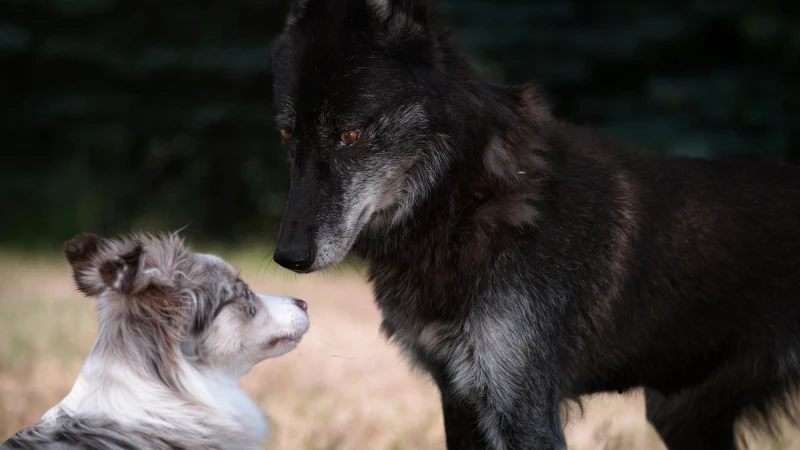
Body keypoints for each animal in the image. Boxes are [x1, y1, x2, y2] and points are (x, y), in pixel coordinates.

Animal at [269, 1, 800, 449]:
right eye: (287, 133)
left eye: (348, 135)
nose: (288, 257)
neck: (467, 201)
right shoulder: (460, 396)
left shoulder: (522, 410)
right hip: (681, 418)